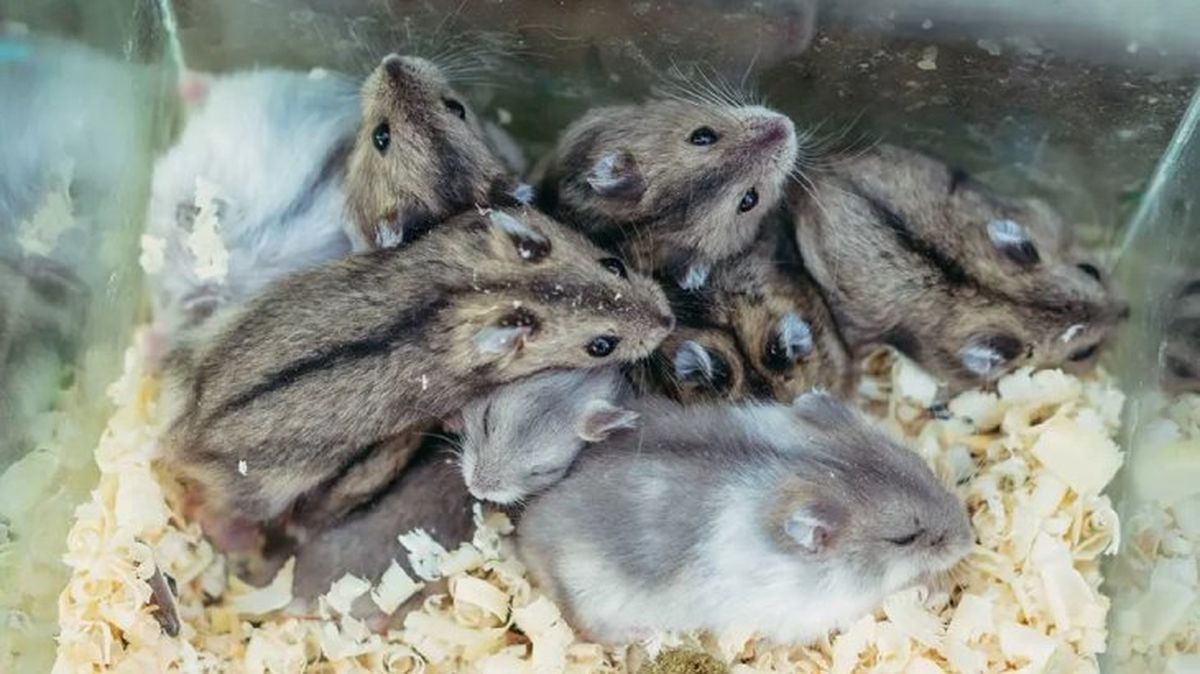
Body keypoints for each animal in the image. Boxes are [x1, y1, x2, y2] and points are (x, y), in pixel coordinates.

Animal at [517, 392, 974, 645]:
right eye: (905, 538)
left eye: (921, 465)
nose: (970, 539)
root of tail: (526, 533)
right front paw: (925, 592)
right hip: (594, 593)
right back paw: (645, 637)